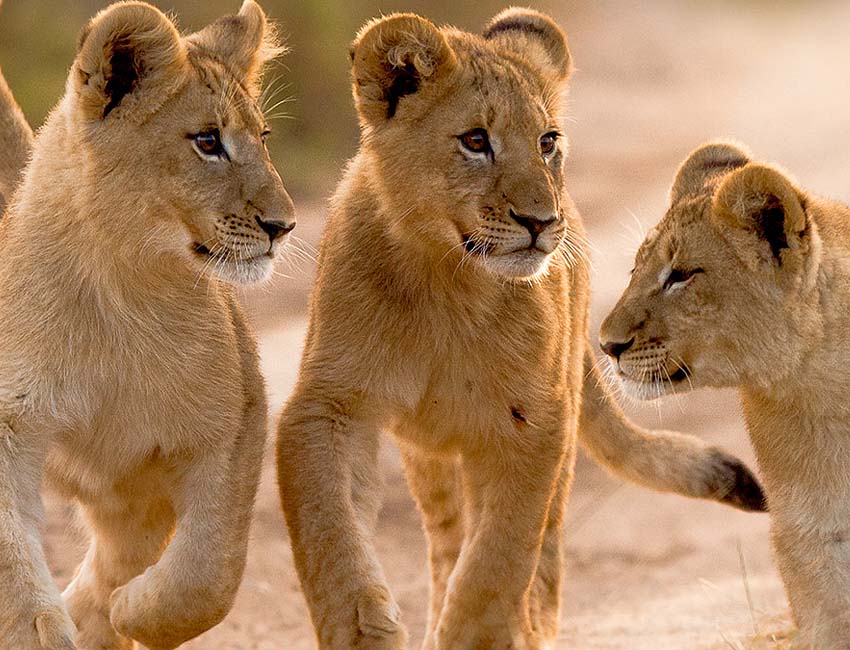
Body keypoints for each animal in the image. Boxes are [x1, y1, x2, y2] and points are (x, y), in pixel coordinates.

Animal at [0, 1, 294, 648]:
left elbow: (208, 572)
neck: (123, 292)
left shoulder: (236, 417)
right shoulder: (10, 422)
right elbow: (12, 558)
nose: (284, 225)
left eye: (263, 138)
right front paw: (43, 628)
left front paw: (132, 611)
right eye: (208, 142)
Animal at [275, 10, 765, 650]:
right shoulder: (330, 403)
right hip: (431, 454)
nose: (541, 222)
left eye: (547, 142)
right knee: (446, 540)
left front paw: (476, 633)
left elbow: (498, 559)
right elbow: (332, 535)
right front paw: (364, 627)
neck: (446, 281)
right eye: (475, 141)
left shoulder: (534, 419)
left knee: (541, 550)